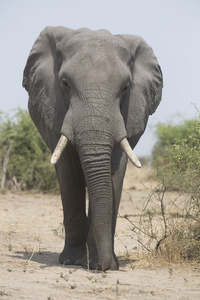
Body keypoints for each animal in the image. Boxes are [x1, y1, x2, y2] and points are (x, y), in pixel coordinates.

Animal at [22, 25, 162, 270]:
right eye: (65, 83)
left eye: (126, 87)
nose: (106, 267)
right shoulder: (55, 108)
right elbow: (68, 173)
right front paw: (72, 261)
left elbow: (115, 171)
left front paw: (98, 263)